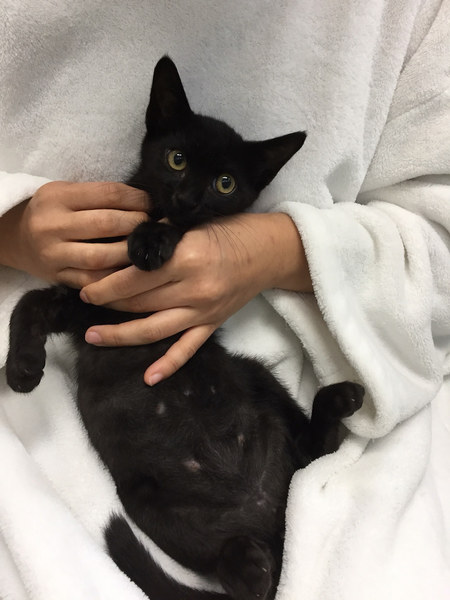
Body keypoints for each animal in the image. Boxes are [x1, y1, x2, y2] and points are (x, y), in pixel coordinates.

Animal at [6, 56, 364, 600]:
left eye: (225, 183)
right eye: (176, 159)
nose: (188, 196)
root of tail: (266, 513)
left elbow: (176, 232)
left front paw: (153, 238)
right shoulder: (86, 301)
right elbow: (30, 301)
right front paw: (23, 369)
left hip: (255, 377)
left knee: (313, 453)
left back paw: (336, 404)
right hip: (145, 497)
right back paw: (246, 562)